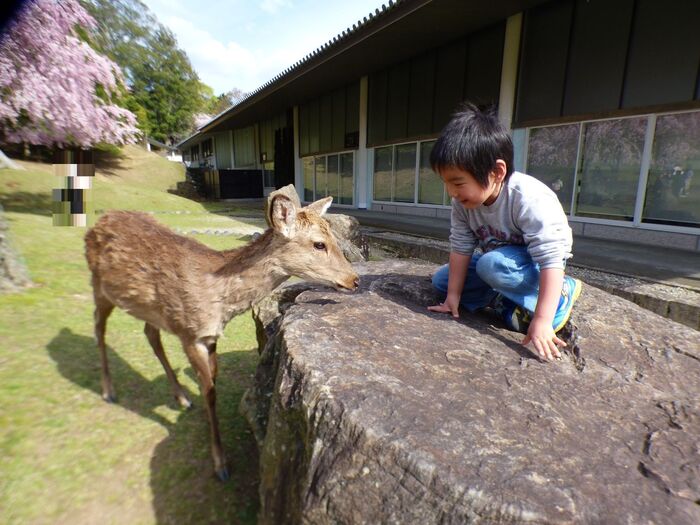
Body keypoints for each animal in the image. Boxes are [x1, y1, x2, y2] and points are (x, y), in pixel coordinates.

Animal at [84, 185, 359, 481]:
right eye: (319, 243)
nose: (354, 279)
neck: (219, 299)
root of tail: (97, 223)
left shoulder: (210, 335)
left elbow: (212, 382)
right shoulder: (190, 333)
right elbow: (210, 392)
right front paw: (220, 463)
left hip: (152, 309)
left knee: (150, 334)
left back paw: (181, 397)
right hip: (99, 286)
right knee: (98, 326)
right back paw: (108, 391)